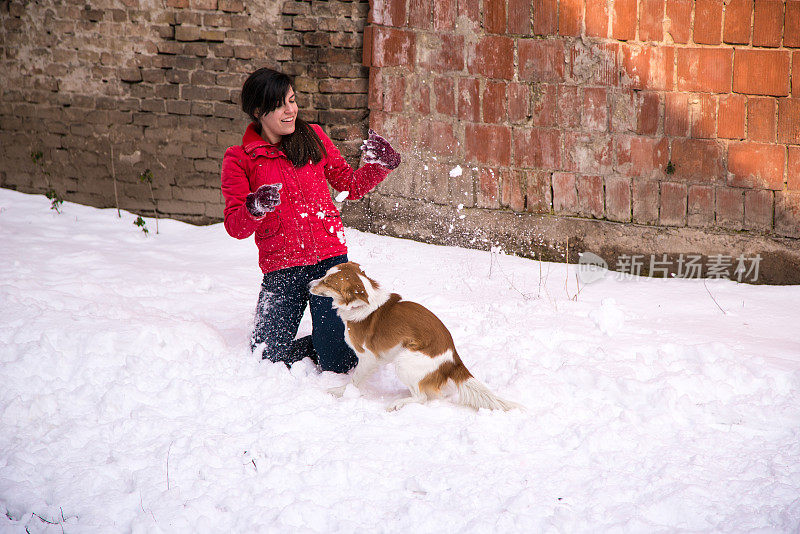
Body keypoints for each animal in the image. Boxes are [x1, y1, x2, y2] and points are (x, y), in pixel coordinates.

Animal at [310, 262, 520, 412]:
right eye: (324, 274)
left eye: (327, 282)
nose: (308, 283)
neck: (361, 303)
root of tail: (453, 357)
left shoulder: (368, 357)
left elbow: (354, 381)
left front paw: (341, 392)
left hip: (404, 360)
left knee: (422, 398)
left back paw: (398, 403)